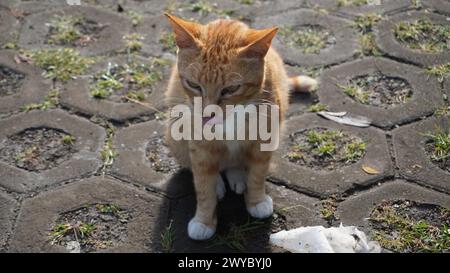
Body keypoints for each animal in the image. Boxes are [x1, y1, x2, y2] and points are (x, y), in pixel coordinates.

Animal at [164, 13, 316, 239]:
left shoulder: (264, 143)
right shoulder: (200, 149)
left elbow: (257, 175)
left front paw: (256, 201)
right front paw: (204, 221)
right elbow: (203, 186)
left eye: (231, 89)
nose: (207, 114)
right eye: (194, 85)